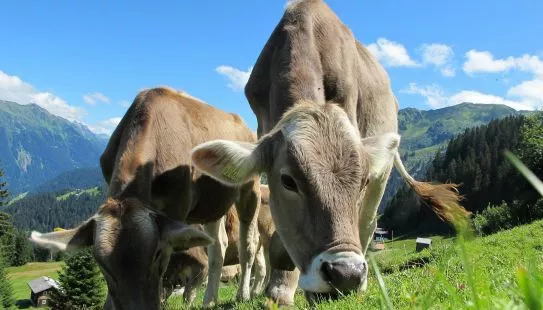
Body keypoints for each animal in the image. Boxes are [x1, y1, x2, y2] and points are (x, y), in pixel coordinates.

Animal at [29, 86, 264, 308]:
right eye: (101, 264)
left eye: (157, 254)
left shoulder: (176, 208)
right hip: (212, 204)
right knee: (218, 247)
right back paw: (210, 300)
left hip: (250, 189)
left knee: (248, 243)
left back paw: (244, 294)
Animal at [191, 0, 468, 306]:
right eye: (288, 181)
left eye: (362, 181)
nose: (346, 274)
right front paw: (279, 290)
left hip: (382, 178)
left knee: (367, 224)